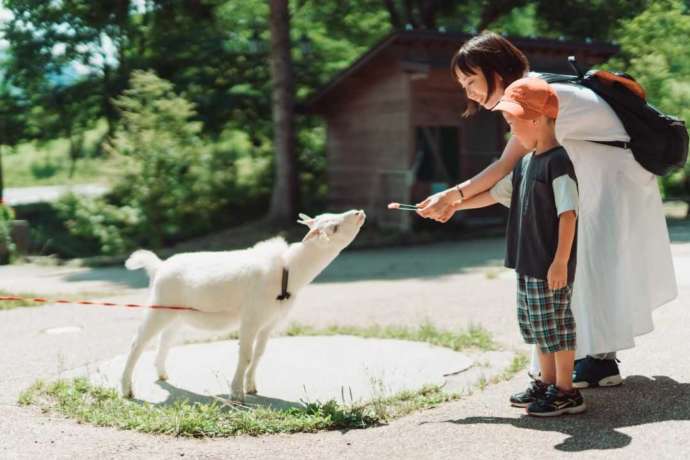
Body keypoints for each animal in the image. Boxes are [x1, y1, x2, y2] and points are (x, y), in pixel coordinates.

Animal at [121, 208, 366, 398]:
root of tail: (158, 266)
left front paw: (251, 387)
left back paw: (162, 374)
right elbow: (245, 354)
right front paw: (237, 393)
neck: (288, 270)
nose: (359, 212)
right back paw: (126, 389)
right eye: (334, 227)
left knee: (165, 340)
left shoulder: (269, 321)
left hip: (176, 313)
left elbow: (259, 353)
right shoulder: (251, 317)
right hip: (158, 306)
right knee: (137, 343)